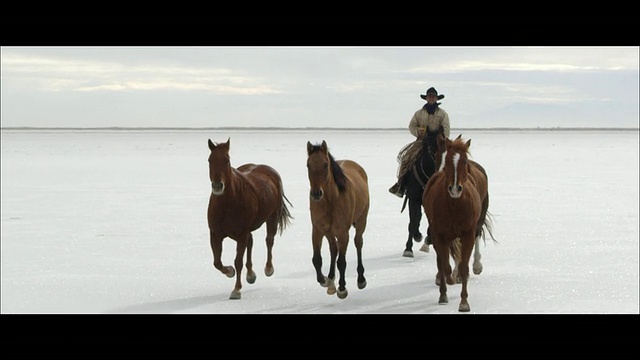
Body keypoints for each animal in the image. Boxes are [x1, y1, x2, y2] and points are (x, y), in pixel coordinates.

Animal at [208, 139, 292, 300]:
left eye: (227, 160)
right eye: (210, 160)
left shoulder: (241, 234)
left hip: (272, 218)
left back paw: (268, 268)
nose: (217, 186)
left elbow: (238, 261)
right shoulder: (215, 234)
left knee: (269, 240)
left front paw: (236, 290)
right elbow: (216, 262)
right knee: (251, 241)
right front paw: (230, 271)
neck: (227, 204)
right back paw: (251, 274)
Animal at [424, 135, 496, 312]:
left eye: (464, 161)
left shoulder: (468, 233)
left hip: (478, 221)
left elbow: (463, 266)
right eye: (439, 156)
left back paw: (476, 266)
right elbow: (444, 264)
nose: (455, 188)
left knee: (476, 239)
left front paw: (464, 302)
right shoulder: (438, 234)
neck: (454, 204)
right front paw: (445, 288)